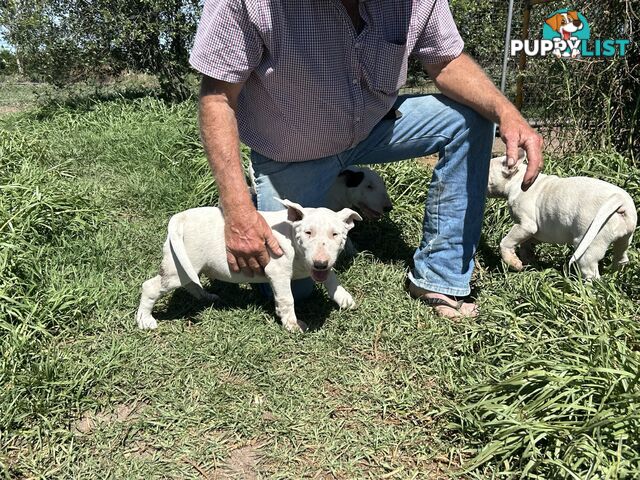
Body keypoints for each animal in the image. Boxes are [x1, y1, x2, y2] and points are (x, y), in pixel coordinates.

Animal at [136, 197, 360, 332]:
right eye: (308, 232)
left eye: (335, 234)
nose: (320, 263)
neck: (292, 239)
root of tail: (180, 217)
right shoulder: (277, 272)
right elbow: (287, 299)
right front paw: (293, 325)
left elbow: (331, 278)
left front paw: (344, 298)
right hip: (178, 267)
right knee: (151, 286)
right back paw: (145, 320)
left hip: (188, 265)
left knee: (191, 283)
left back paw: (207, 296)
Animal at [490, 152, 636, 280]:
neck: (517, 180)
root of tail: (619, 199)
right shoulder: (534, 233)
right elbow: (526, 246)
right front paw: (528, 262)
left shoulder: (526, 226)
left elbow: (506, 242)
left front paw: (514, 263)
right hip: (624, 238)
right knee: (621, 257)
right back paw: (615, 276)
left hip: (589, 246)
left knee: (591, 273)